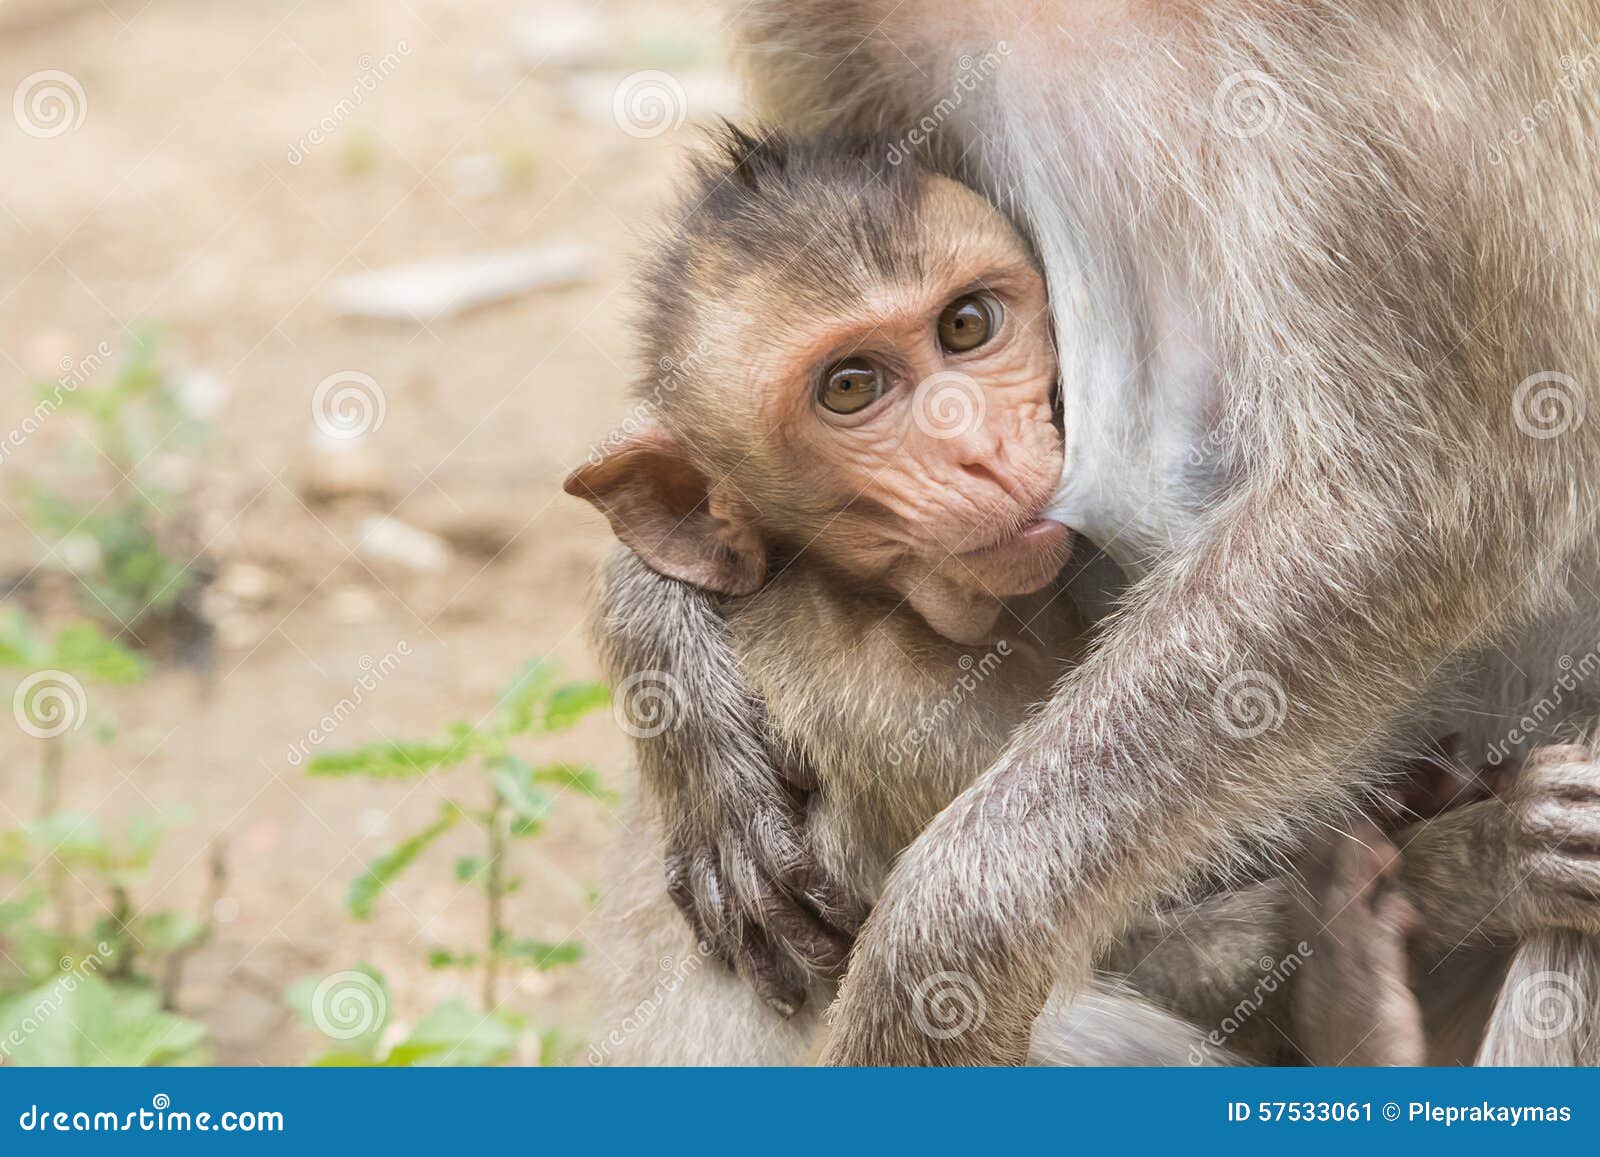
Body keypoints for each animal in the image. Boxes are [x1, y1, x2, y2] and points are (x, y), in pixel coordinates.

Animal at [580, 0, 1600, 1066]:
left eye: (968, 326)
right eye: (851, 388)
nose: (980, 449)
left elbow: (1418, 500)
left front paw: (938, 962)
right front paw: (665, 638)